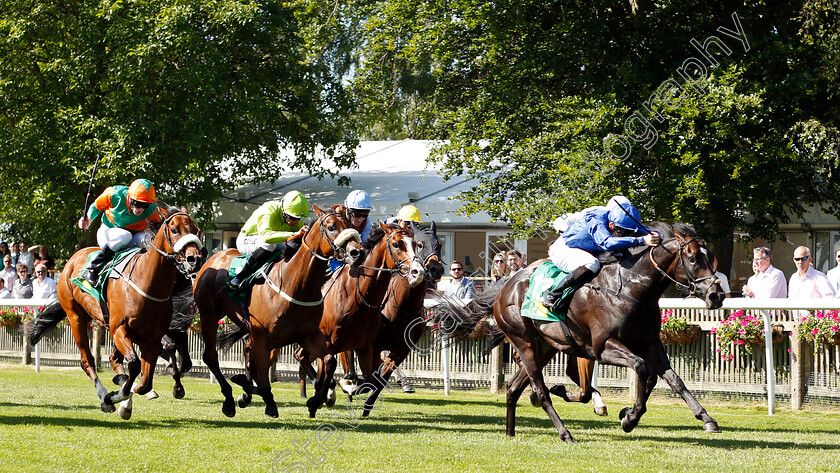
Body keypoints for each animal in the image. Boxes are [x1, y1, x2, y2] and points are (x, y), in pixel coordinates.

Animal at [28, 205, 203, 418]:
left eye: (195, 230)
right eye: (175, 230)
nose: (195, 260)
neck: (147, 284)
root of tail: (71, 261)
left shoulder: (152, 339)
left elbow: (145, 381)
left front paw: (127, 393)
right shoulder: (120, 329)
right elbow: (135, 365)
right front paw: (114, 397)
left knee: (114, 359)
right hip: (76, 316)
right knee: (88, 361)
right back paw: (105, 395)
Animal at [197, 204, 368, 416]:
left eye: (350, 224)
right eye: (331, 227)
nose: (357, 252)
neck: (294, 283)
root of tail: (213, 257)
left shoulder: (308, 335)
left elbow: (329, 361)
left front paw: (317, 400)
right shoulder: (262, 336)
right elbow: (263, 381)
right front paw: (268, 402)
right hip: (209, 315)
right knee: (211, 356)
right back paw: (229, 399)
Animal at [296, 220, 426, 412]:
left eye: (416, 245)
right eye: (396, 244)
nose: (418, 271)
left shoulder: (382, 347)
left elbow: (374, 380)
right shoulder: (340, 342)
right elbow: (345, 371)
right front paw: (342, 386)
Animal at [430, 223, 724, 440]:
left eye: (712, 258)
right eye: (693, 258)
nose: (717, 295)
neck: (632, 288)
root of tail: (504, 287)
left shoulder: (650, 343)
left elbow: (673, 379)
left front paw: (707, 419)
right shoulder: (603, 347)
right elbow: (643, 370)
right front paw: (629, 417)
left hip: (545, 346)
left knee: (514, 388)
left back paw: (511, 432)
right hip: (524, 341)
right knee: (539, 390)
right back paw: (565, 432)